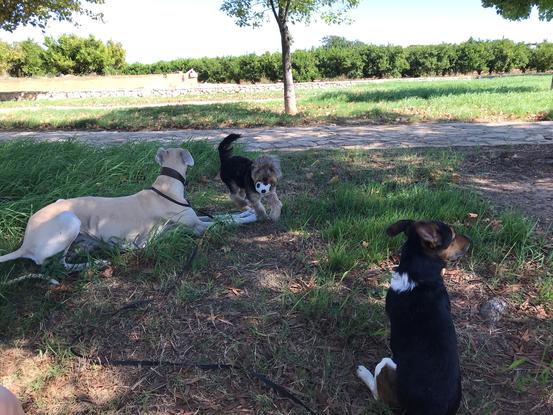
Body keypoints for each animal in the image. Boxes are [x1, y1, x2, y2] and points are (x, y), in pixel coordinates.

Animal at [0, 147, 254, 282]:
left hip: (78, 236)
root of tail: (25, 243)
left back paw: (100, 260)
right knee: (51, 264)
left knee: (66, 260)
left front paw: (246, 211)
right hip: (68, 219)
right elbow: (225, 222)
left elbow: (219, 216)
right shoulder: (197, 228)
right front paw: (250, 215)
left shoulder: (195, 221)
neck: (165, 188)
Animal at [358, 219, 470, 414]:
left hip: (385, 364)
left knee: (379, 396)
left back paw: (363, 372)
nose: (470, 241)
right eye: (453, 236)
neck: (419, 274)